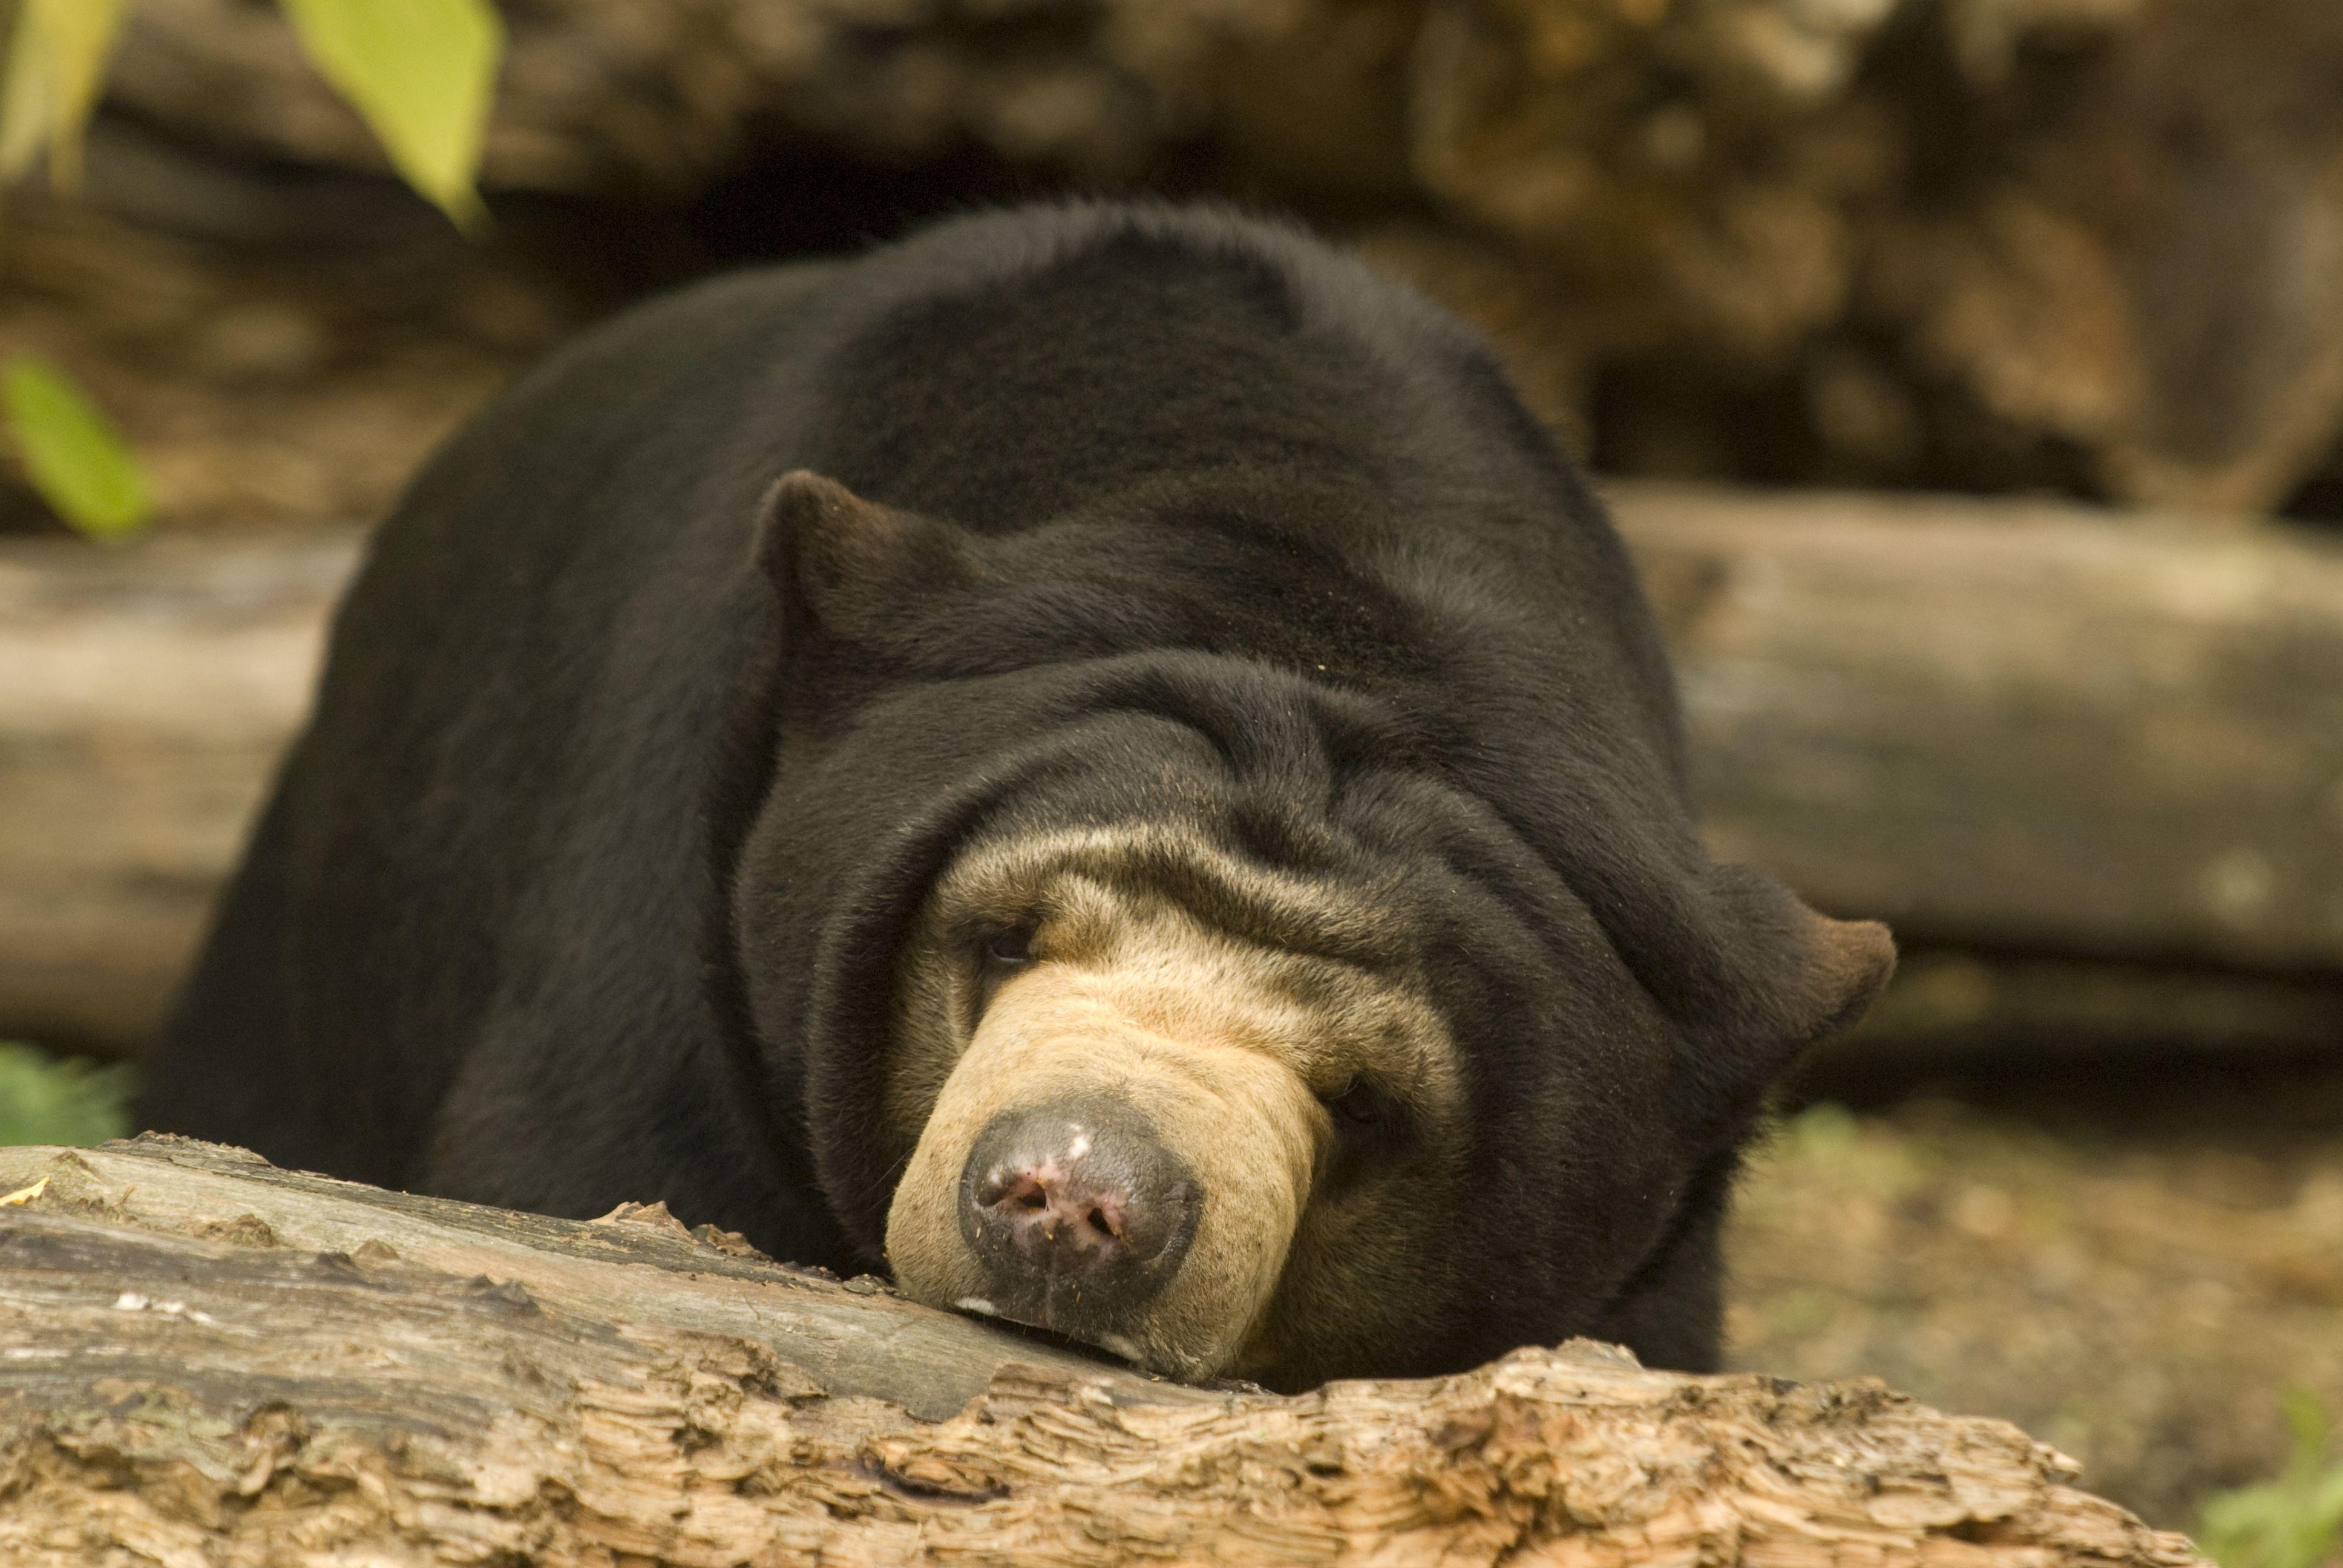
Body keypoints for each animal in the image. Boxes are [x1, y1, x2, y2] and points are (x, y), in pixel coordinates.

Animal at [142, 201, 1884, 1387]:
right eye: (1001, 941)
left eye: (1367, 1100)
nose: (1074, 1202)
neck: (1319, 587)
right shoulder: (664, 943)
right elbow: (585, 1172)